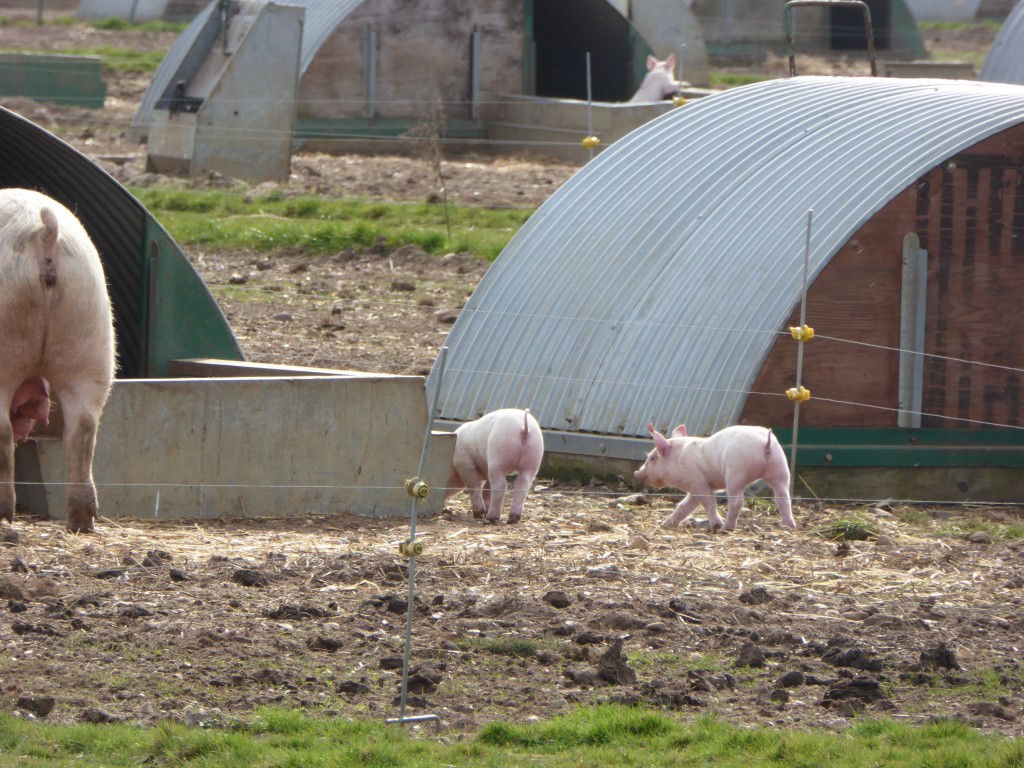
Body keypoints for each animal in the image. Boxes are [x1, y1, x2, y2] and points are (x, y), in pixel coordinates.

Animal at [0, 189, 116, 532]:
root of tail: (46, 234)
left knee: (3, 432)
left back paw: (5, 516)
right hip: (92, 337)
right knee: (84, 429)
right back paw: (83, 522)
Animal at [634, 423, 794, 532]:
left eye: (653, 458)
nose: (636, 473)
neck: (678, 459)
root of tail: (765, 443)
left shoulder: (697, 480)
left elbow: (708, 501)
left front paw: (716, 525)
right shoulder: (694, 487)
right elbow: (685, 506)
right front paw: (665, 524)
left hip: (736, 474)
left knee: (737, 502)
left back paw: (726, 528)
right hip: (780, 469)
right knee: (783, 499)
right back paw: (788, 526)